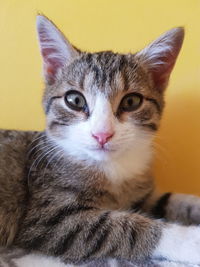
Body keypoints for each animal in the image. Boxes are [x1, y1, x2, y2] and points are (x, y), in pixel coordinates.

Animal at [0, 15, 200, 266]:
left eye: (131, 101)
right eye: (74, 100)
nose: (102, 134)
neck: (111, 168)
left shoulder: (141, 193)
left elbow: (170, 200)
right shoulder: (46, 218)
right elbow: (123, 228)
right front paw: (190, 239)